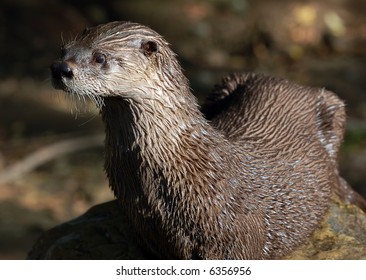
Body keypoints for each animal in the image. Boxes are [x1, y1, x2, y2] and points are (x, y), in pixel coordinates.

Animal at [49, 21, 366, 260]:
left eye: (99, 57)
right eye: (63, 50)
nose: (60, 69)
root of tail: (288, 81)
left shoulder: (237, 232)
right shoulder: (146, 229)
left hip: (331, 104)